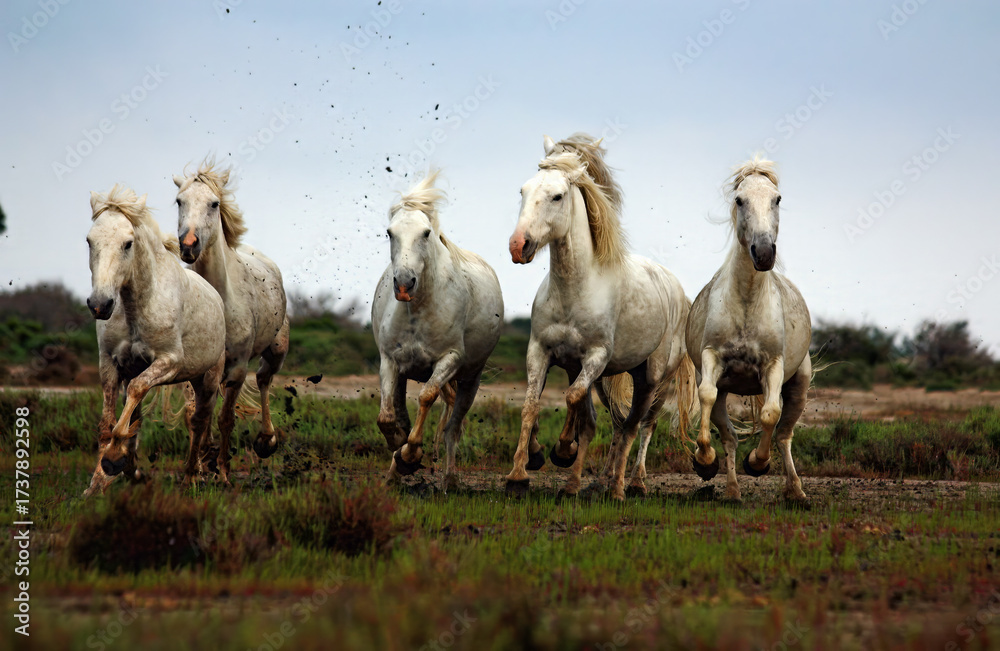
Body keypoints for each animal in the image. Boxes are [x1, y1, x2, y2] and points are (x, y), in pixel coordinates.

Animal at [83, 185, 226, 496]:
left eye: (128, 244)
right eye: (89, 241)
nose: (100, 304)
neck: (137, 306)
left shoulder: (169, 362)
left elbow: (133, 398)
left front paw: (114, 459)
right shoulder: (109, 364)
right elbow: (108, 422)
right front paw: (98, 482)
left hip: (207, 379)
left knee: (199, 421)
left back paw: (192, 476)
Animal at [173, 160, 290, 482]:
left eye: (214, 204)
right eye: (179, 201)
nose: (188, 245)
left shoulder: (237, 368)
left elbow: (226, 418)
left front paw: (224, 472)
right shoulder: (197, 369)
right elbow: (197, 416)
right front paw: (197, 468)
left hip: (276, 351)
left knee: (263, 380)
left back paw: (266, 441)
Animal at [372, 170, 504, 491]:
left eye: (426, 233)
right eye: (389, 232)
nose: (404, 283)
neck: (418, 311)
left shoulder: (449, 360)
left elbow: (427, 396)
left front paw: (411, 454)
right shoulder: (389, 361)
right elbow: (387, 417)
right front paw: (399, 450)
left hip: (470, 380)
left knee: (452, 427)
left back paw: (450, 480)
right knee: (401, 413)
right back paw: (393, 474)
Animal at [505, 134, 695, 500]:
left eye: (557, 196)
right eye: (522, 190)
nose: (519, 246)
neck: (575, 289)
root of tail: (678, 292)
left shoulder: (594, 358)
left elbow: (572, 399)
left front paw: (563, 449)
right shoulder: (542, 352)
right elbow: (532, 406)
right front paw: (519, 473)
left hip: (653, 379)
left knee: (639, 426)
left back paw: (626, 485)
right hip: (610, 381)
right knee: (617, 426)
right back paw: (592, 482)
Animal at [685, 157, 812, 502]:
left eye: (777, 199)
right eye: (740, 200)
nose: (764, 252)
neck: (746, 301)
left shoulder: (773, 366)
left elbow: (769, 414)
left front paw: (757, 463)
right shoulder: (712, 359)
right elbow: (706, 395)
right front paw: (704, 460)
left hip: (799, 386)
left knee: (784, 434)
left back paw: (795, 491)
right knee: (729, 436)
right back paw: (731, 490)